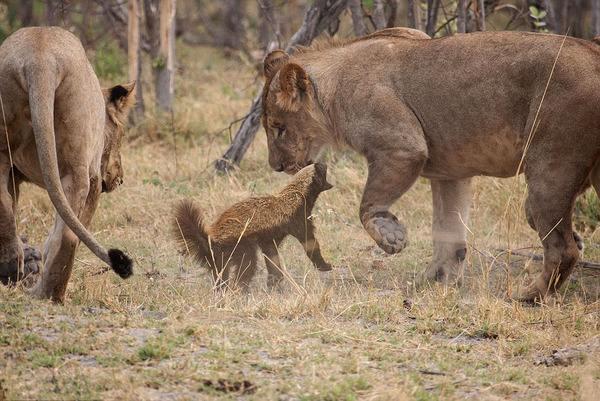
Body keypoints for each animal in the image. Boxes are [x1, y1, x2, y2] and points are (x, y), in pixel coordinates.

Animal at [0, 26, 134, 302]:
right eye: (121, 134)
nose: (120, 178)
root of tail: (39, 59)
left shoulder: (14, 175)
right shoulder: (94, 177)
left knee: (4, 204)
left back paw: (11, 269)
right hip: (78, 167)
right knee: (68, 236)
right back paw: (49, 295)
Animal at [173, 162, 332, 290]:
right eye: (321, 169)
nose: (324, 162)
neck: (297, 195)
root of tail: (210, 239)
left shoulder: (269, 239)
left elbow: (272, 257)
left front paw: (274, 282)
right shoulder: (298, 220)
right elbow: (310, 243)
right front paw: (325, 266)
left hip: (221, 258)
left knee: (221, 275)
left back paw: (222, 291)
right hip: (240, 246)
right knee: (246, 266)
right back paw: (240, 290)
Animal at [262, 27, 600, 300]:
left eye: (279, 127)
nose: (276, 166)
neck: (333, 90)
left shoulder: (403, 147)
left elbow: (367, 205)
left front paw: (391, 237)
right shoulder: (451, 172)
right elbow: (448, 233)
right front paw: (434, 281)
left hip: (551, 165)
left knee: (562, 248)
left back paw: (528, 295)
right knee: (550, 230)